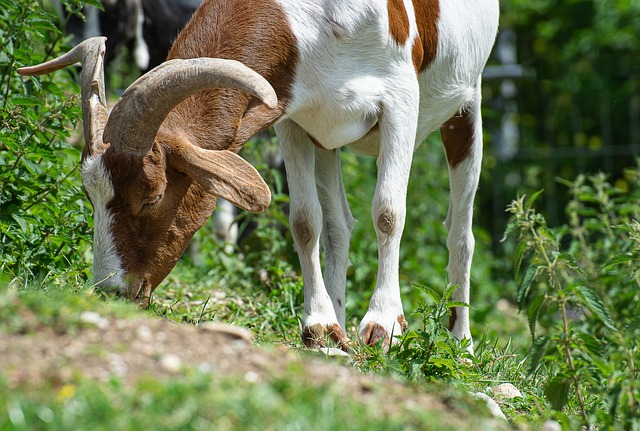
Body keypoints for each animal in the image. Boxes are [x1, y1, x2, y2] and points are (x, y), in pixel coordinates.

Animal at [18, 0, 500, 352]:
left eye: (151, 197)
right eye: (92, 196)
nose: (111, 291)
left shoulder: (400, 98)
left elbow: (388, 212)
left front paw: (383, 326)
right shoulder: (294, 115)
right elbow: (305, 222)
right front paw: (320, 328)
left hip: (466, 106)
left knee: (461, 233)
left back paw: (461, 344)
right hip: (327, 137)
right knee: (339, 225)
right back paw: (340, 327)